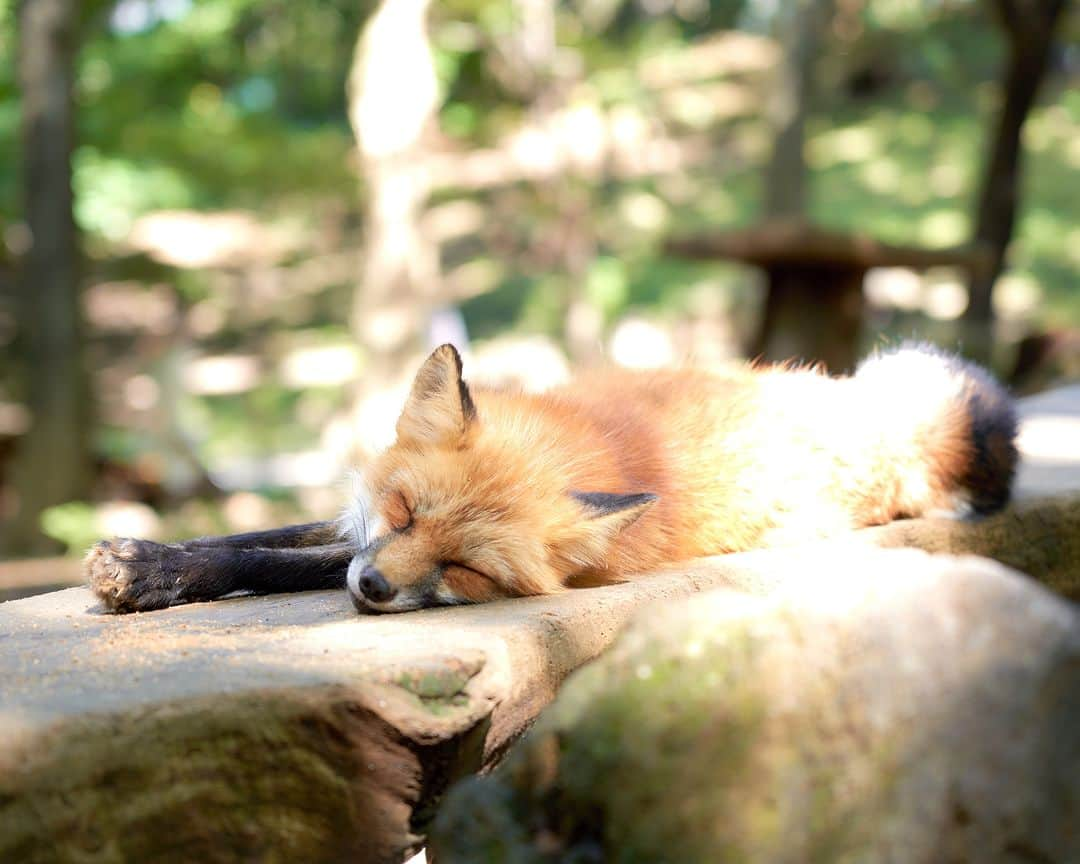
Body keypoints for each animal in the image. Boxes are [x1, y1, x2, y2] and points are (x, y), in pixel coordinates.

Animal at [88, 339, 1015, 613]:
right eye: (403, 509)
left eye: (464, 569)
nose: (376, 591)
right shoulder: (358, 528)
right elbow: (260, 537)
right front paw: (157, 558)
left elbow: (278, 562)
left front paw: (154, 573)